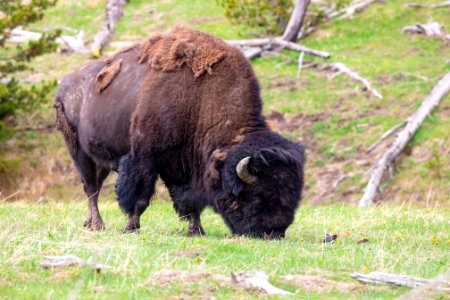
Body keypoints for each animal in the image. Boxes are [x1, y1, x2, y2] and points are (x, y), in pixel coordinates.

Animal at [54, 27, 304, 238]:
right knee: (90, 187)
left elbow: (192, 202)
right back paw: (97, 224)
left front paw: (197, 231)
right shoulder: (145, 158)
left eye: (293, 195)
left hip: (101, 158)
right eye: (260, 196)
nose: (275, 232)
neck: (199, 99)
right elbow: (140, 198)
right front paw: (130, 228)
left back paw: (89, 223)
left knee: (94, 185)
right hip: (78, 151)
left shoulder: (185, 167)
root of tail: (64, 84)